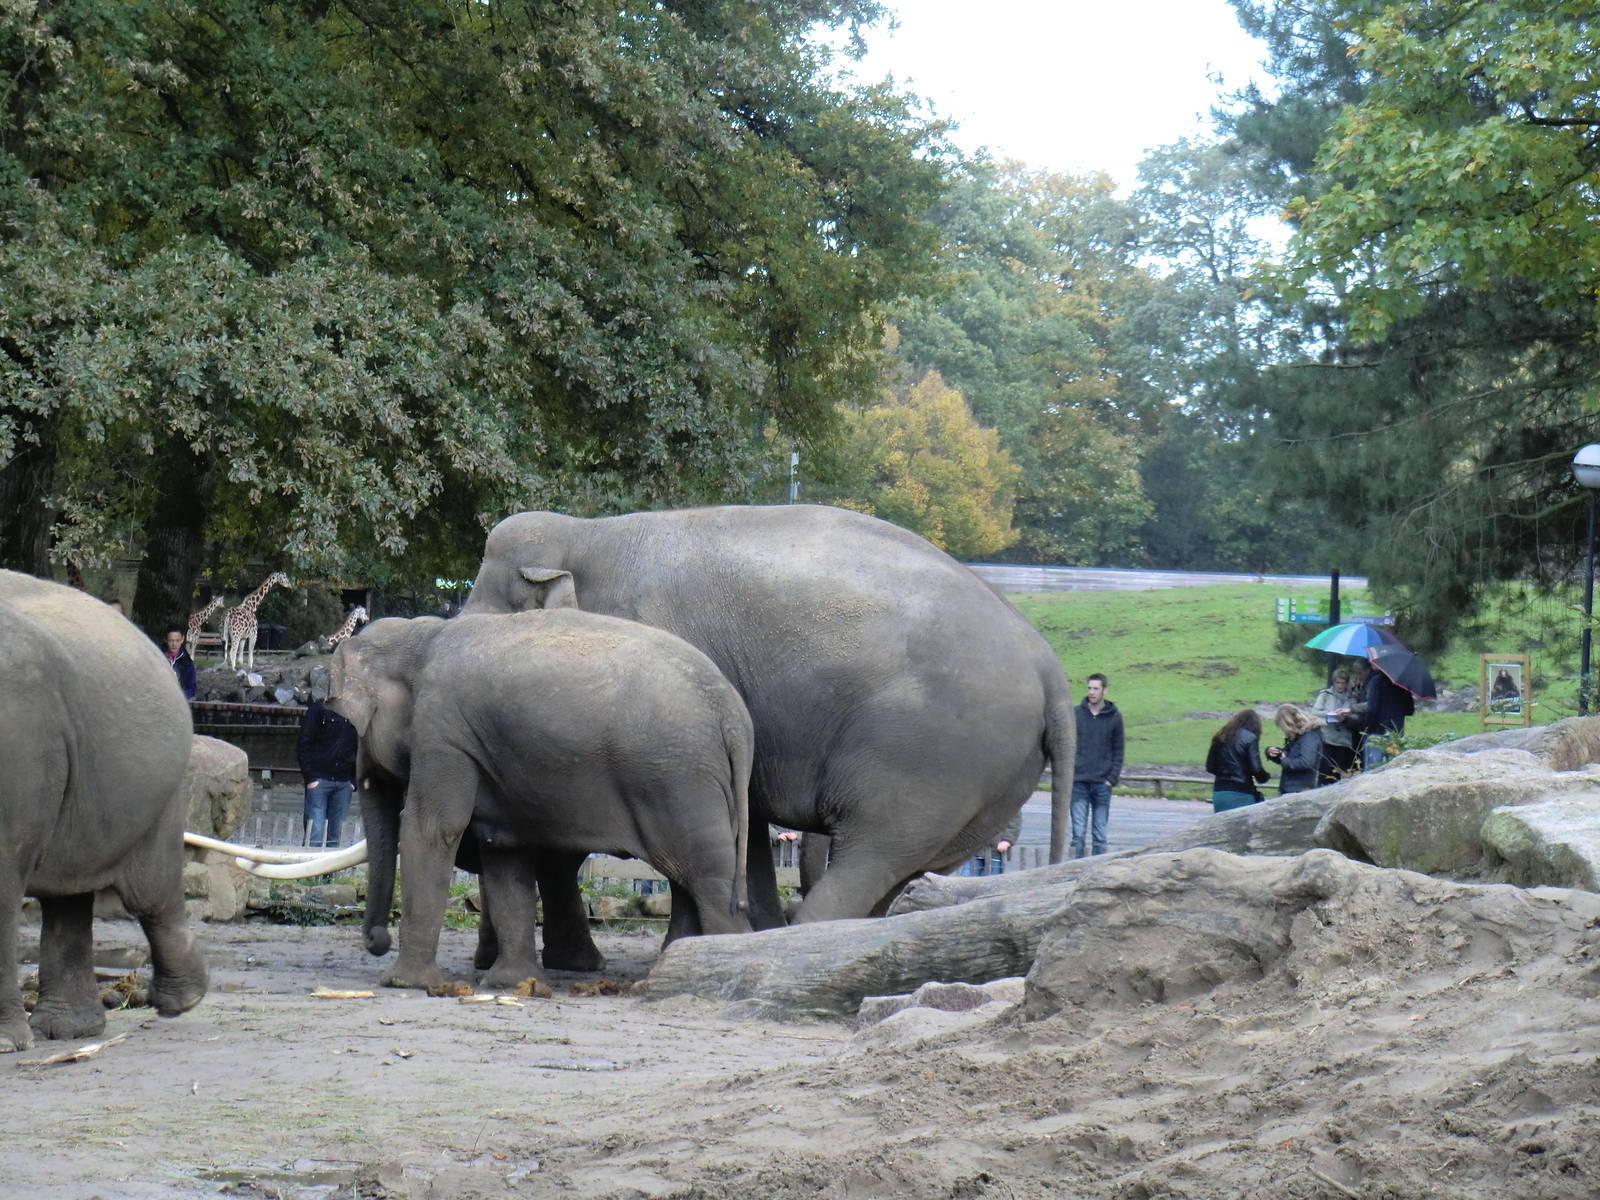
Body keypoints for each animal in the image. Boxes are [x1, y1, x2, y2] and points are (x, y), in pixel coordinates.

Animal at [0, 570, 208, 1051]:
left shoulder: (20, 746)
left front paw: (4, 1043)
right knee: (69, 891)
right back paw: (70, 1030)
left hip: (161, 793)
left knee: (150, 893)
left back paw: (180, 1001)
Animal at [326, 606, 753, 992]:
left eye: (358, 727)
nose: (375, 941)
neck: (422, 634)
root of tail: (731, 713)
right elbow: (503, 851)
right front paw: (511, 984)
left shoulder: (442, 732)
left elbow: (433, 830)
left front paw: (403, 983)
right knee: (687, 881)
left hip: (680, 782)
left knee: (707, 879)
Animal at [461, 503, 1075, 931]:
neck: (589, 533)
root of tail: (1051, 670)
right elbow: (747, 822)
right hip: (982, 781)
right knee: (901, 868)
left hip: (930, 756)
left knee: (874, 851)